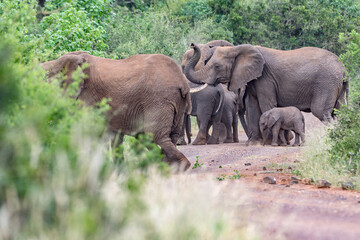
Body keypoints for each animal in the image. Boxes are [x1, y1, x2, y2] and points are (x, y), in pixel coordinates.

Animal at [41, 50, 193, 171]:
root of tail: (182, 82)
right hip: (177, 104)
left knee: (155, 137)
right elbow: (114, 138)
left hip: (159, 100)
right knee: (167, 137)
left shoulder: (89, 97)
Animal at [184, 42, 348, 145]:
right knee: (339, 112)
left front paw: (270, 143)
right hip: (337, 87)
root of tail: (343, 68)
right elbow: (252, 106)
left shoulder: (265, 78)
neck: (237, 49)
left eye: (217, 66)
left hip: (326, 84)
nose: (192, 45)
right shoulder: (253, 80)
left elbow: (266, 105)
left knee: (322, 112)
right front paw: (253, 143)